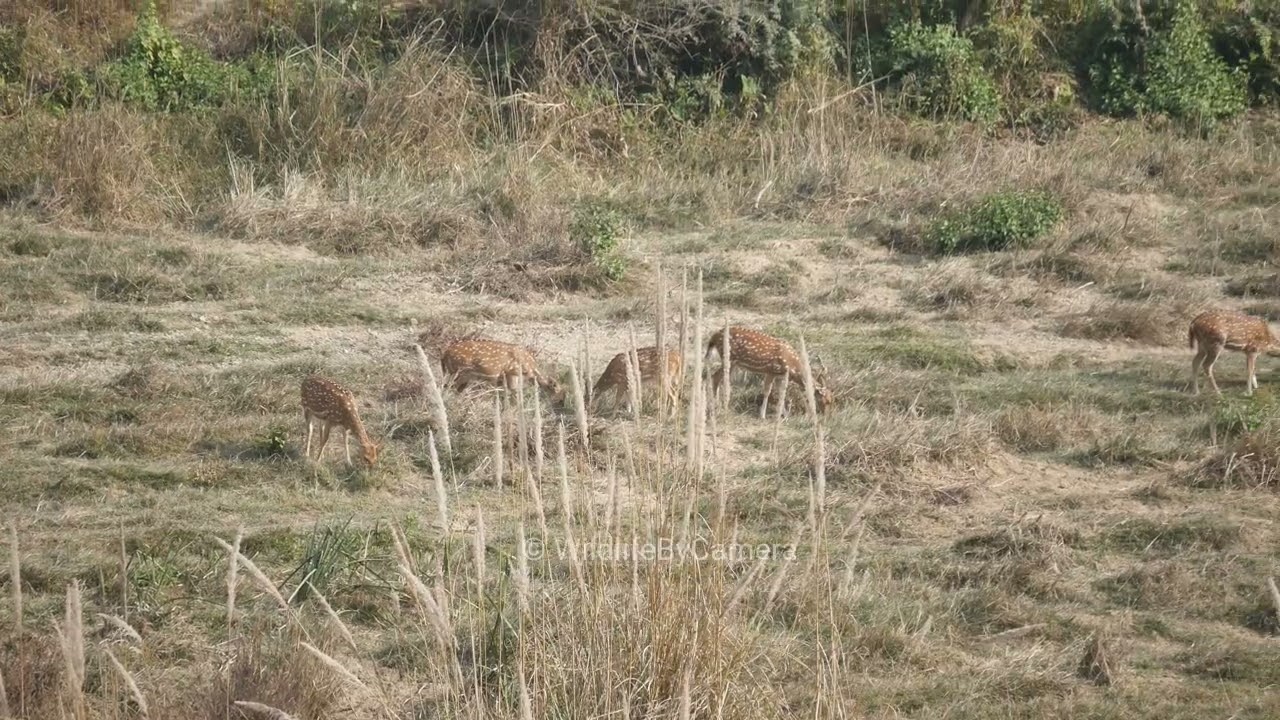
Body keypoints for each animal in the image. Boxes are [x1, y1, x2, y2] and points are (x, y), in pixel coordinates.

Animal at [705, 326, 834, 419]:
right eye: (827, 401)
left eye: (831, 400)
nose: (827, 417)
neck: (792, 367)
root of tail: (714, 336)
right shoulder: (771, 370)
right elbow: (767, 391)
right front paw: (762, 415)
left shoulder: (780, 375)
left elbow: (781, 393)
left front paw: (785, 415)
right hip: (729, 359)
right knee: (715, 377)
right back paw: (716, 408)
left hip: (731, 363)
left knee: (716, 378)